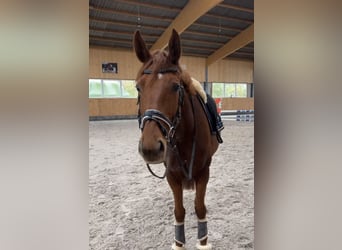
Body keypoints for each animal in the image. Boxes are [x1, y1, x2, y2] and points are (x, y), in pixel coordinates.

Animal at [133, 29, 219, 250]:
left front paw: (203, 242)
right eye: (138, 88)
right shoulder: (171, 174)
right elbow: (179, 211)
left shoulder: (203, 171)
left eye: (174, 86)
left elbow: (200, 207)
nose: (151, 148)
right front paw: (179, 243)